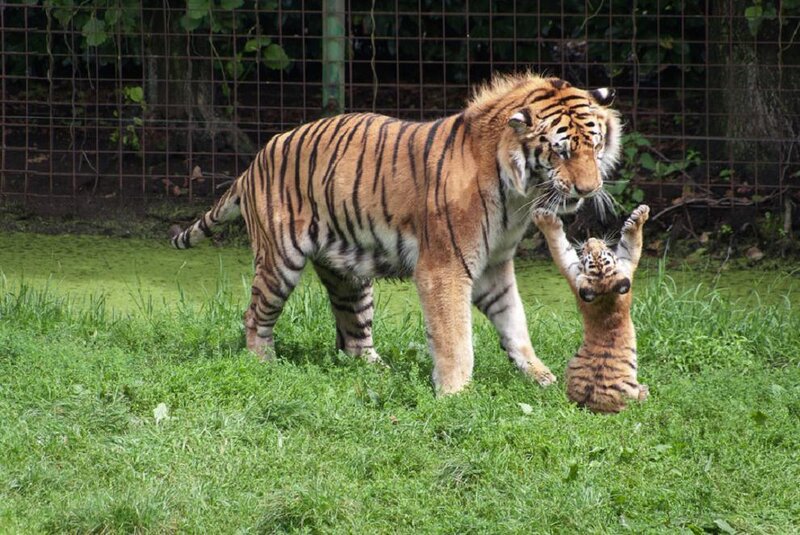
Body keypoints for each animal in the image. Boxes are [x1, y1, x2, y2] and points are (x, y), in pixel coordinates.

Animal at [169, 71, 622, 395]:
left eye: (594, 145)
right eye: (561, 150)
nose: (588, 189)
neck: (518, 193)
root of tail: (255, 161)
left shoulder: (495, 266)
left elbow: (515, 322)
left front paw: (539, 375)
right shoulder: (444, 268)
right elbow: (455, 336)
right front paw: (456, 393)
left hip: (349, 276)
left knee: (354, 338)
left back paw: (380, 372)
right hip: (279, 261)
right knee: (254, 315)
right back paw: (263, 363)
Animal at [532, 205, 650, 413]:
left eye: (602, 251)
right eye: (590, 253)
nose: (592, 239)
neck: (604, 289)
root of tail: (591, 404)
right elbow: (633, 244)